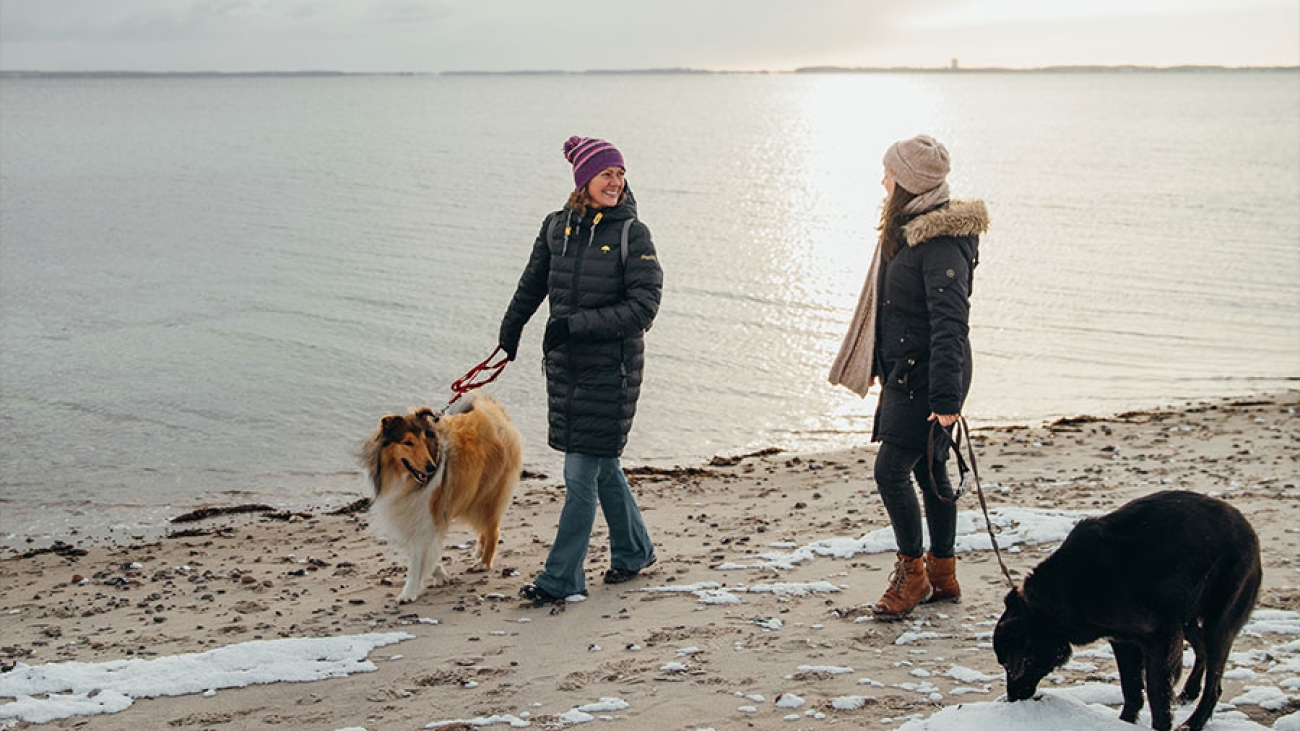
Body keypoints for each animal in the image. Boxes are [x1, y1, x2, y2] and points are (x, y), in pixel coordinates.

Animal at [361, 395, 522, 600]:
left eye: (425, 440)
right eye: (408, 442)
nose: (430, 467)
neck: (404, 478)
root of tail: (493, 412)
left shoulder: (425, 515)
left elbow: (417, 559)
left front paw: (409, 592)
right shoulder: (406, 514)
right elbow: (422, 552)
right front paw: (439, 574)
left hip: (487, 497)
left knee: (493, 530)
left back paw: (483, 563)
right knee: (486, 529)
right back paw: (479, 550)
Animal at [993, 489, 1258, 728]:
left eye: (1011, 665)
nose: (1011, 698)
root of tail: (1248, 529)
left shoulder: (1159, 637)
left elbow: (1156, 695)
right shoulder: (1124, 641)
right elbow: (1131, 690)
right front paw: (1125, 722)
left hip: (1217, 624)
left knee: (1214, 684)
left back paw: (1194, 722)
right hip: (1186, 619)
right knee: (1202, 649)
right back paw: (1190, 691)